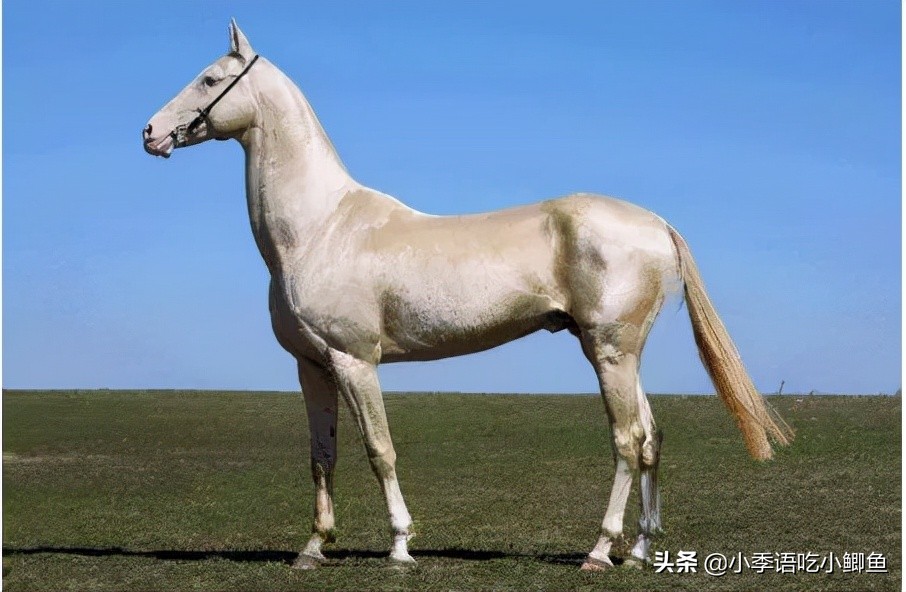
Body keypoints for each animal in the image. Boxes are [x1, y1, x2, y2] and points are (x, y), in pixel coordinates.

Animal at [142, 20, 792, 571]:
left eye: (209, 79)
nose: (149, 132)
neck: (320, 227)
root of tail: (657, 223)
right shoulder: (312, 366)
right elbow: (322, 455)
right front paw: (313, 547)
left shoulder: (356, 361)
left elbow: (380, 449)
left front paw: (401, 547)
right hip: (621, 354)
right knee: (653, 438)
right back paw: (636, 550)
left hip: (610, 352)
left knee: (628, 442)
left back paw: (599, 551)